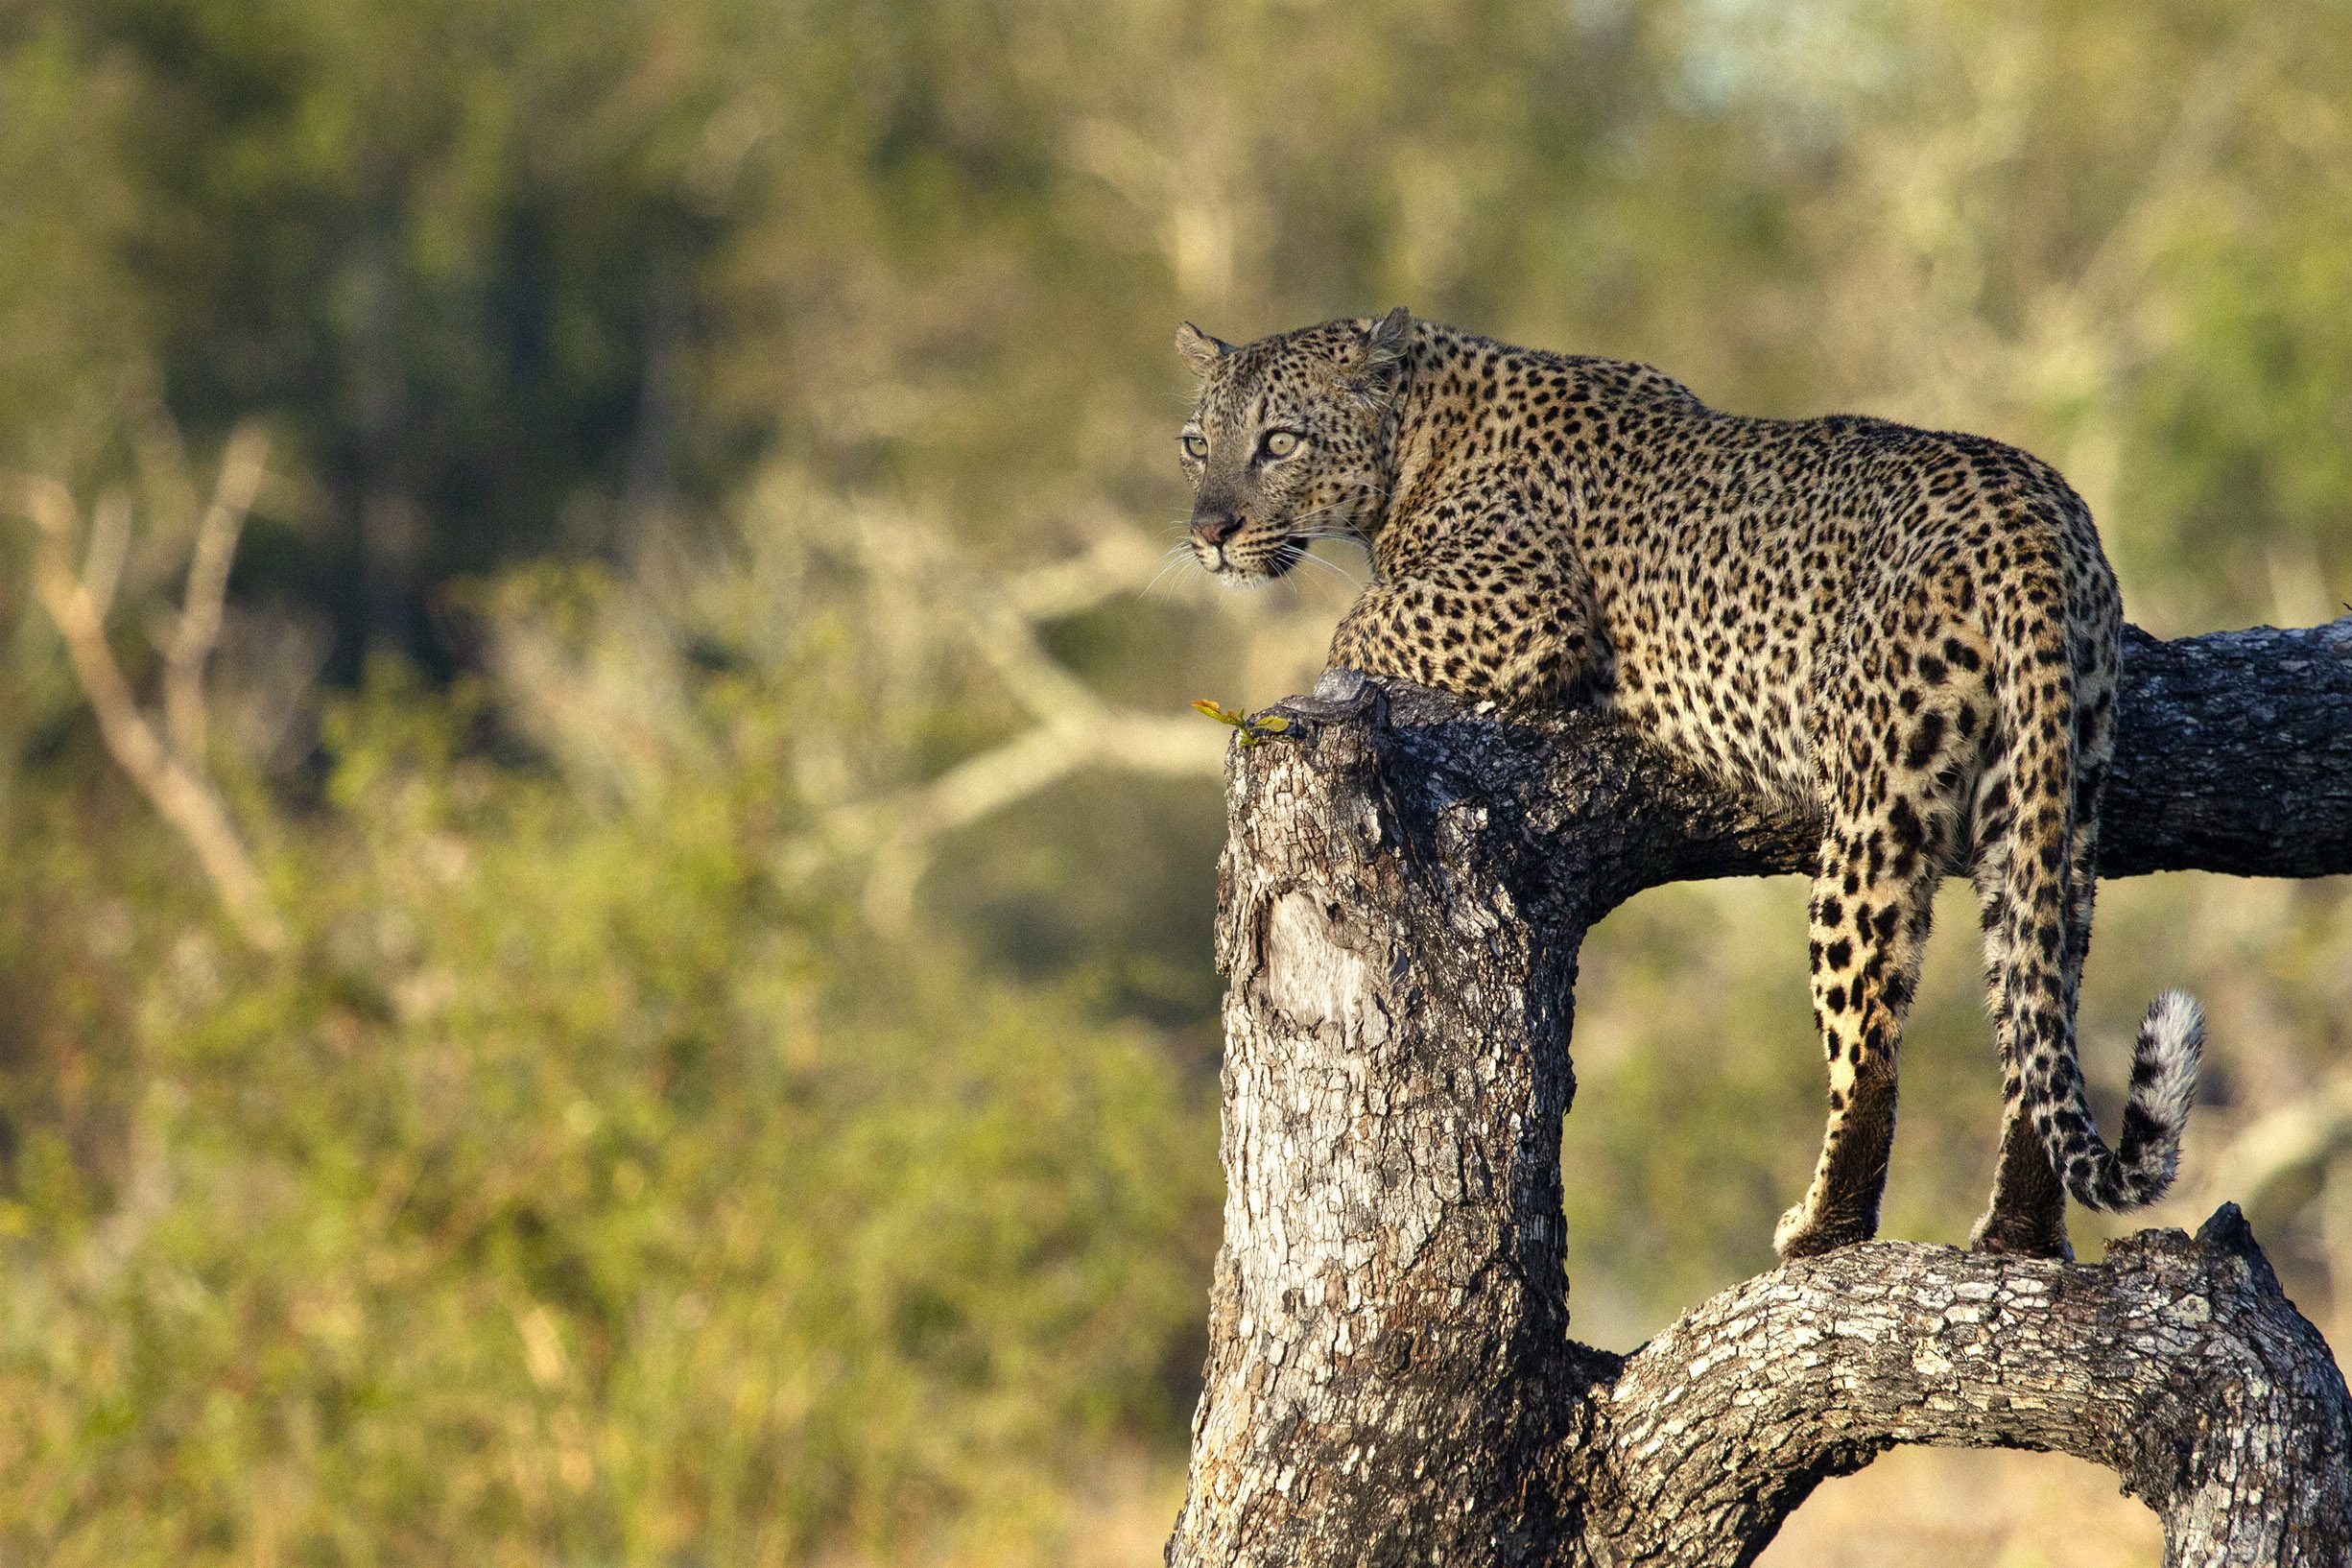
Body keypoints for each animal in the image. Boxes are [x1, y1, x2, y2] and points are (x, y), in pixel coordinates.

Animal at [1172, 307, 2203, 1261]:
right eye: (1196, 443)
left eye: (1278, 441)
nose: (1207, 533)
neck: (1419, 428)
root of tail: (2026, 511)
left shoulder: (1518, 609)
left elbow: (1349, 630)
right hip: (2052, 791)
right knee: (2035, 1000)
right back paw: (2015, 1233)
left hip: (1877, 802)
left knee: (1870, 1048)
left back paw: (1820, 1229)